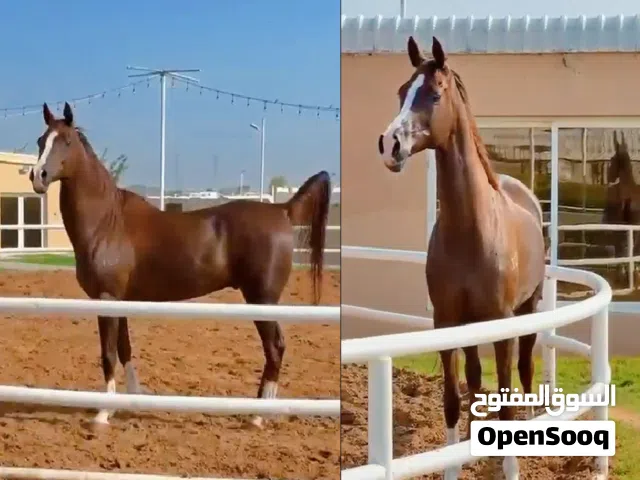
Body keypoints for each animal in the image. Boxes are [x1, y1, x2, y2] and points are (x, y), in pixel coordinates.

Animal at [29, 102, 331, 429]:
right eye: (40, 140)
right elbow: (124, 349)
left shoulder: (106, 299)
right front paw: (131, 401)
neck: (107, 222)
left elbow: (108, 354)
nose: (38, 176)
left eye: (66, 141)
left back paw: (257, 416)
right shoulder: (121, 301)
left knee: (275, 348)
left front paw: (103, 414)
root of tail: (282, 209)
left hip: (261, 300)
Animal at [377, 36, 546, 479]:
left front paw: (511, 468)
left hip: (529, 308)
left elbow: (505, 400)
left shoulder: (503, 323)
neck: (472, 230)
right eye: (402, 92)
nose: (389, 144)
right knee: (473, 377)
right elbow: (453, 399)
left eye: (434, 94)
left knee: (525, 369)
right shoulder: (447, 321)